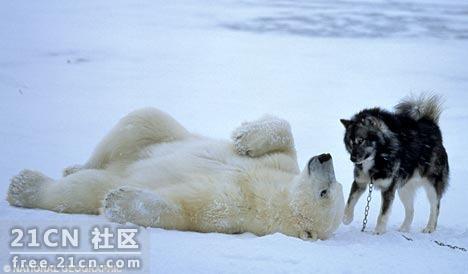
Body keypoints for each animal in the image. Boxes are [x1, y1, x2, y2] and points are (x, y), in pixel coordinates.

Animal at [6, 107, 344, 240]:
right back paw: (73, 165)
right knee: (140, 121)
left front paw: (118, 201)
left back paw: (24, 186)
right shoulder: (281, 167)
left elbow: (187, 207)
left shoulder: (237, 207)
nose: (325, 157)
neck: (273, 193)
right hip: (153, 134)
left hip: (110, 175)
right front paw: (244, 137)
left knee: (83, 188)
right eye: (336, 184)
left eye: (326, 191)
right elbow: (284, 136)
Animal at [340, 95, 450, 234]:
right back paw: (404, 229)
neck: (378, 158)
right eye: (350, 142)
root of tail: (432, 126)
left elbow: (383, 214)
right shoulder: (360, 182)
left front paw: (378, 231)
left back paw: (430, 227)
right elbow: (350, 202)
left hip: (432, 186)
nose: (352, 158)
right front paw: (346, 218)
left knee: (435, 207)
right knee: (411, 210)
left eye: (361, 140)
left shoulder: (388, 188)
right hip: (404, 189)